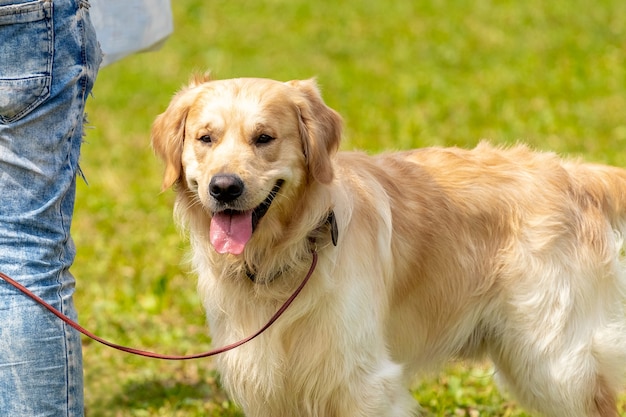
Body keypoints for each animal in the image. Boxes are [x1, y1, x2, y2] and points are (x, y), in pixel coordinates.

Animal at [150, 75, 624, 416]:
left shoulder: (363, 381)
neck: (286, 252)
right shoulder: (269, 384)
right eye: (205, 138)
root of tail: (573, 172)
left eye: (264, 138)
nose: (224, 188)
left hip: (551, 359)